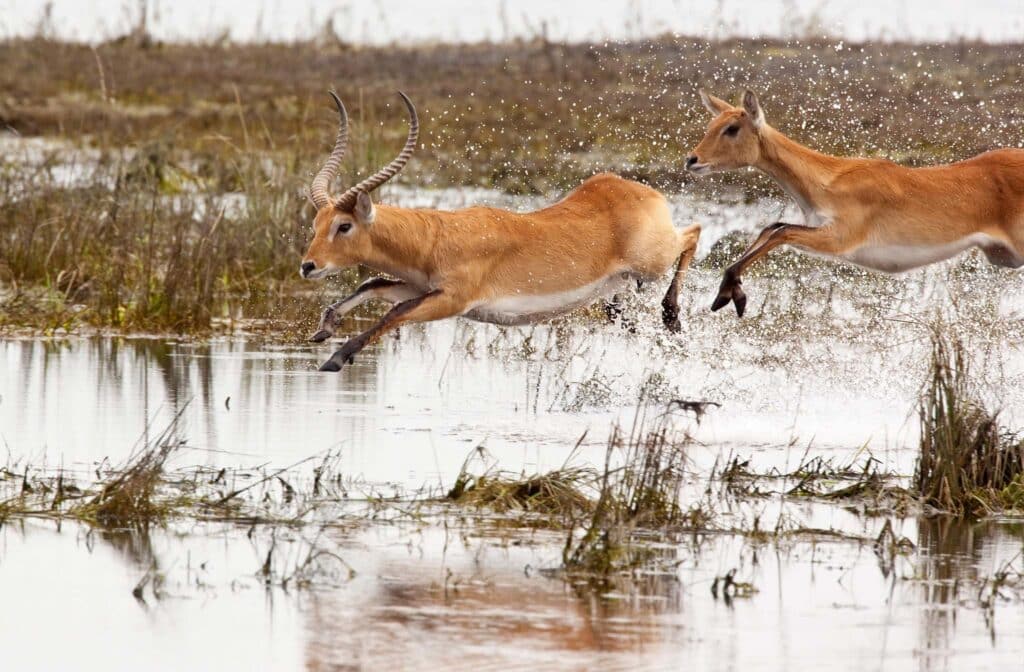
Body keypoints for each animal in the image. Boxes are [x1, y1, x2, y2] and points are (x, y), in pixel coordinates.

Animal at [296, 91, 700, 372]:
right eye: (316, 224)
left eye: (344, 225)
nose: (308, 266)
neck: (435, 238)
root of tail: (633, 189)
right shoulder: (421, 286)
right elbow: (374, 284)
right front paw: (325, 328)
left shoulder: (453, 299)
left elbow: (394, 313)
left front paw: (335, 358)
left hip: (653, 260)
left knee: (694, 231)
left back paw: (672, 317)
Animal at [684, 88, 1024, 315]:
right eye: (710, 126)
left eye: (731, 128)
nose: (692, 160)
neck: (830, 179)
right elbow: (772, 227)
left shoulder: (839, 239)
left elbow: (781, 231)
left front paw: (729, 295)